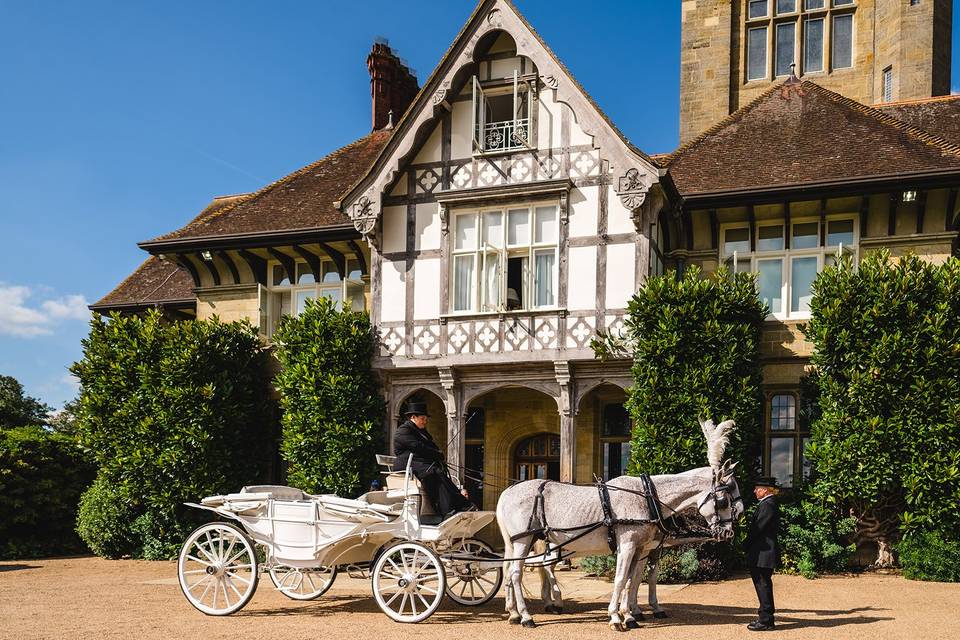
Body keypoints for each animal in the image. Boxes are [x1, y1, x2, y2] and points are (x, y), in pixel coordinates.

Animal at [498, 420, 740, 632]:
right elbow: (622, 578)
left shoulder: (642, 548)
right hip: (524, 540)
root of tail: (507, 492)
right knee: (518, 573)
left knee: (511, 570)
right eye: (724, 500)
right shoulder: (628, 545)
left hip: (522, 541)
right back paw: (527, 616)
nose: (729, 531)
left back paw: (515, 613)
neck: (647, 497)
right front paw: (616, 617)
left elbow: (634, 580)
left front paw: (631, 615)